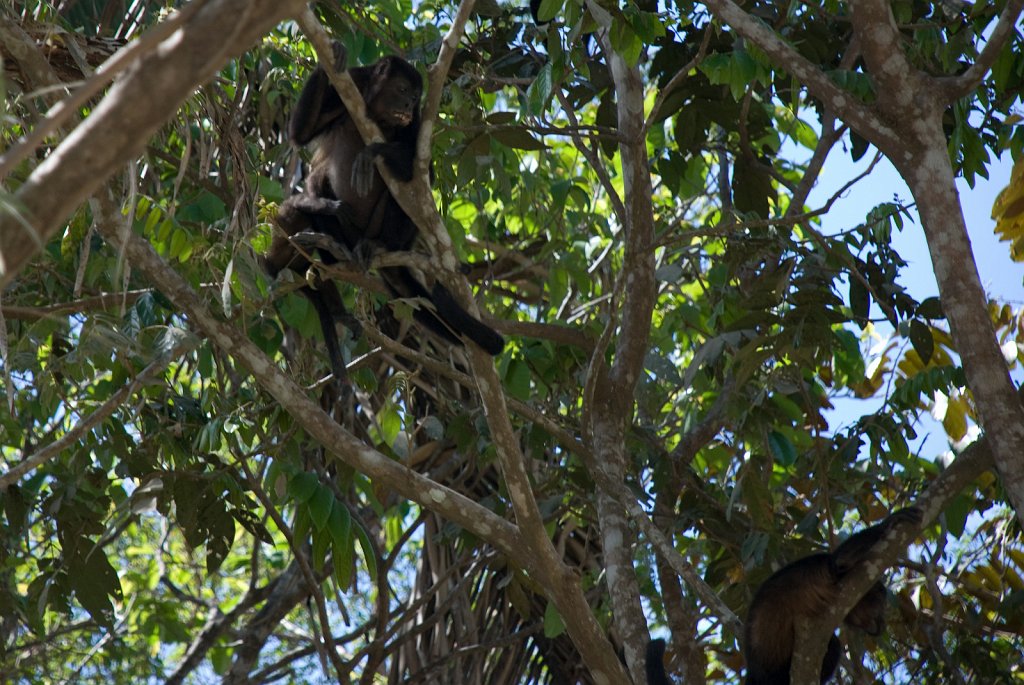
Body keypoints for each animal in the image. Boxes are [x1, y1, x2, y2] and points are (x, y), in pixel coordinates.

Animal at [263, 42, 504, 380]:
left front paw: (371, 152)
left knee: (401, 195)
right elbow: (299, 133)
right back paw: (337, 248)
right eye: (402, 89)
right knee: (318, 179)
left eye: (416, 97)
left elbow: (421, 173)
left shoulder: (416, 121)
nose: (407, 103)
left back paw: (378, 245)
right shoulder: (351, 84)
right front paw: (330, 58)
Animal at [743, 507, 922, 684]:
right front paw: (887, 522)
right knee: (834, 644)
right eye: (881, 604)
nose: (881, 621)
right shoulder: (833, 569)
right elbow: (840, 561)